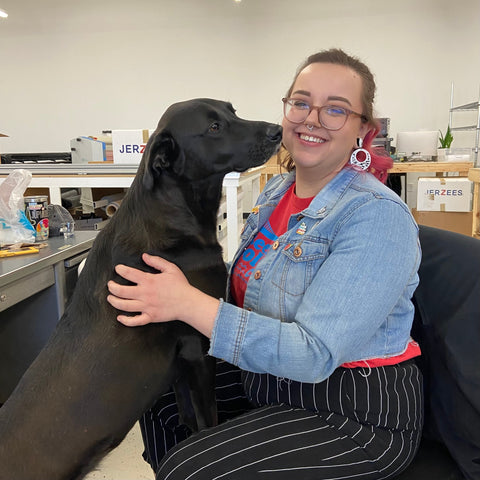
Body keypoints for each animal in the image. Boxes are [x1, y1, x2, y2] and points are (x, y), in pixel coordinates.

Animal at [0, 98, 282, 480]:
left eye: (232, 111)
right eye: (213, 127)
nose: (278, 131)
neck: (172, 210)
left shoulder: (181, 367)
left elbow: (190, 419)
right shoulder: (197, 348)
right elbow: (206, 421)